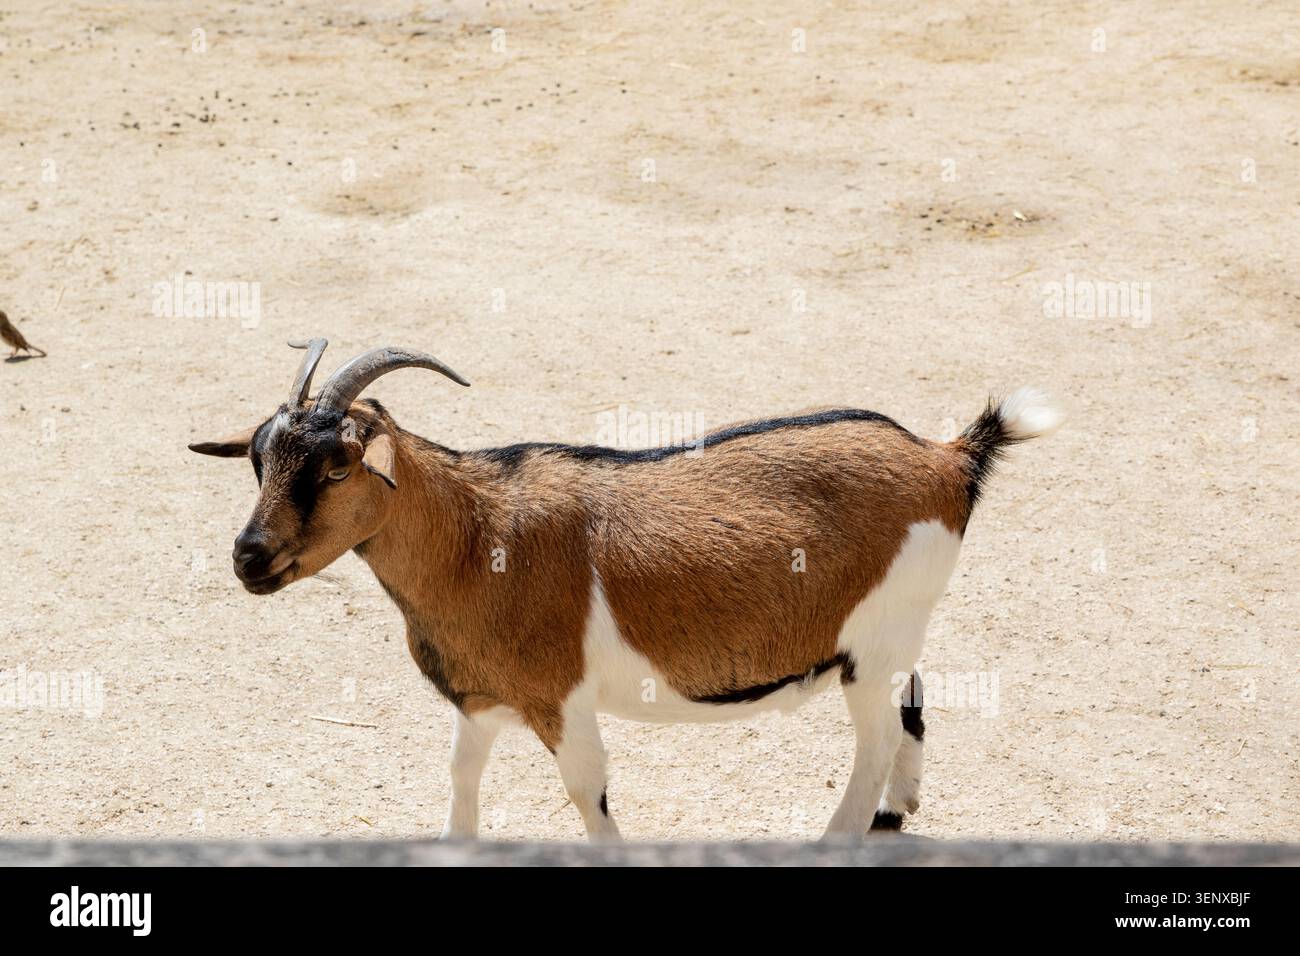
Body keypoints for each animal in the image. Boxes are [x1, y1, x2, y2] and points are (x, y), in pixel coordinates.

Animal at [190, 339, 1063, 840]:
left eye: (338, 465)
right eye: (258, 458)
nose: (248, 558)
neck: (477, 535)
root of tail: (947, 458)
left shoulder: (561, 701)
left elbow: (587, 797)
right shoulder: (480, 699)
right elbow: (461, 788)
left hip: (869, 649)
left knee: (875, 736)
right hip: (888, 633)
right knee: (914, 696)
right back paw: (893, 811)